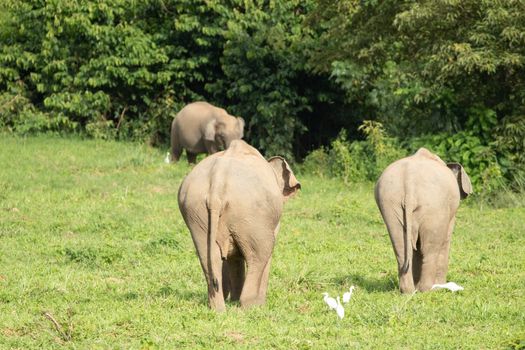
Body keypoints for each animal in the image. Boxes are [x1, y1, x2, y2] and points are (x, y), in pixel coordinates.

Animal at [177, 139, 300, 312]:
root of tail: (218, 181)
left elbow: (232, 257)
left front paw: (232, 299)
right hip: (251, 215)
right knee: (260, 254)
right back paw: (252, 306)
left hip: (195, 211)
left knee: (209, 256)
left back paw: (218, 309)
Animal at [372, 147, 470, 292]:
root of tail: (410, 181)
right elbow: (446, 239)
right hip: (434, 205)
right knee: (430, 247)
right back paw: (427, 290)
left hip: (389, 200)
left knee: (400, 245)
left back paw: (409, 291)